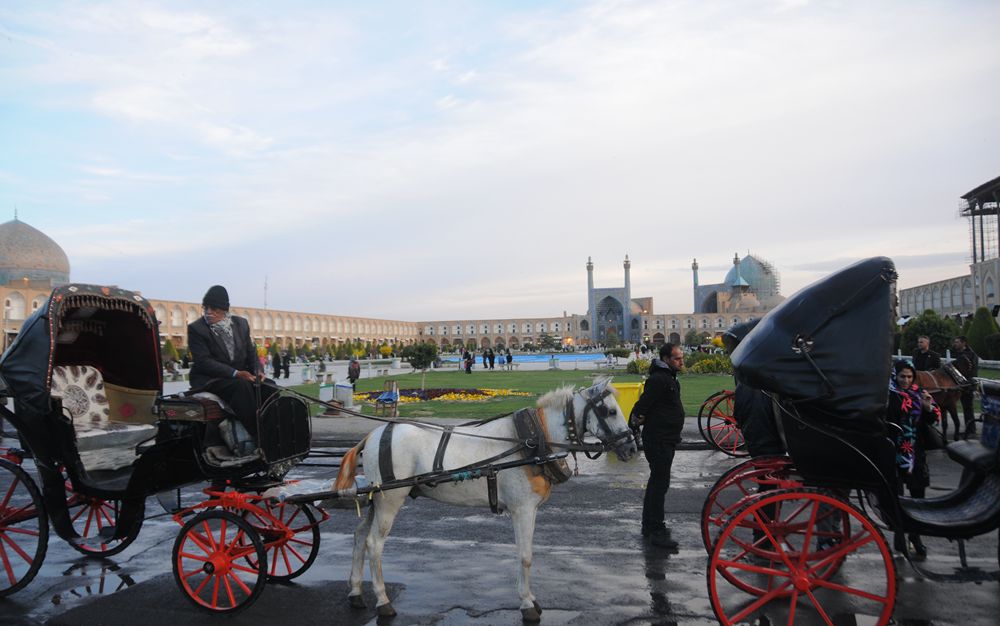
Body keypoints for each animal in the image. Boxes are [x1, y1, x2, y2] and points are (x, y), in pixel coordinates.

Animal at [332, 376, 636, 620]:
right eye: (610, 411)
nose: (632, 448)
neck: (533, 441)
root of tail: (374, 434)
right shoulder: (522, 508)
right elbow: (525, 556)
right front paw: (527, 604)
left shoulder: (530, 510)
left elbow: (527, 553)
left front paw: (530, 598)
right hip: (390, 500)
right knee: (374, 543)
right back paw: (383, 600)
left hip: (376, 500)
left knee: (360, 536)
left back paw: (356, 593)